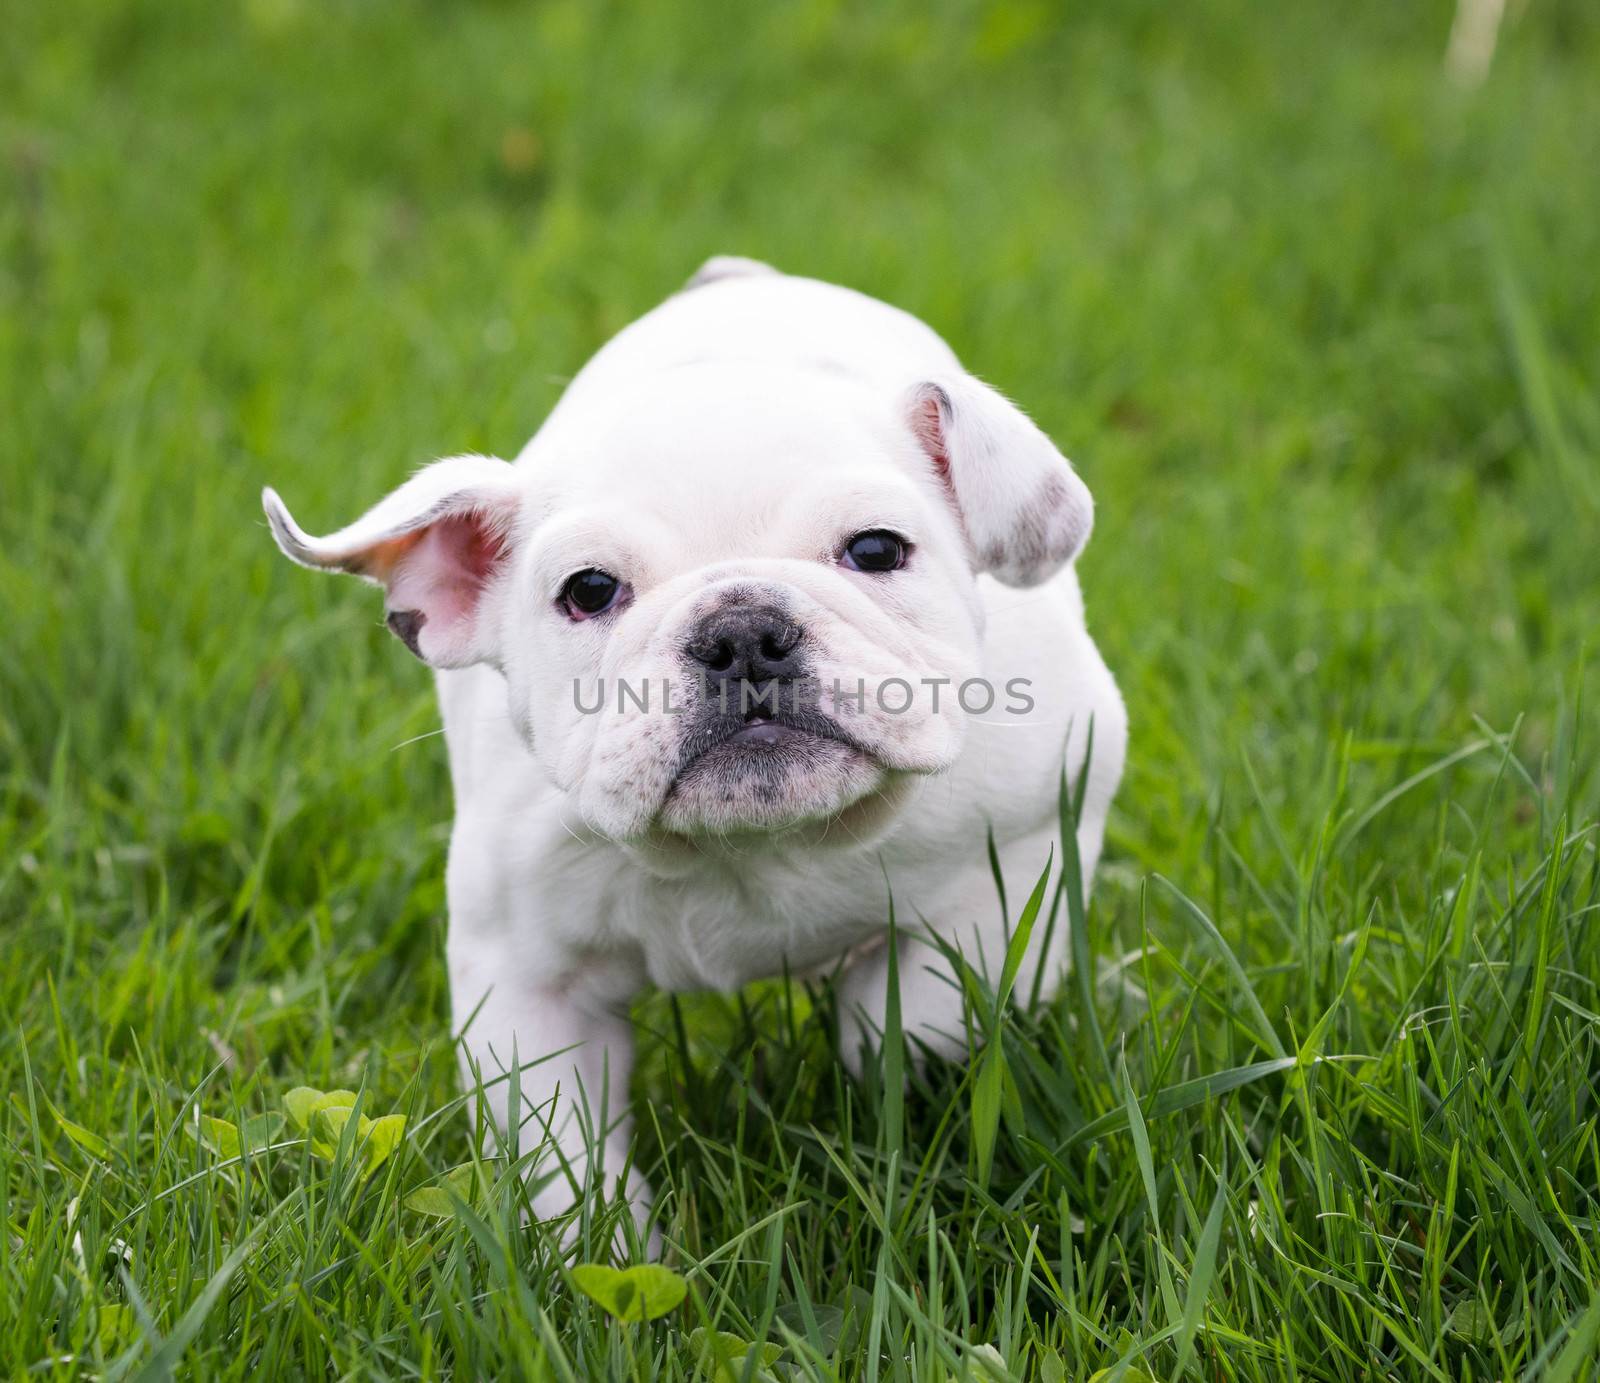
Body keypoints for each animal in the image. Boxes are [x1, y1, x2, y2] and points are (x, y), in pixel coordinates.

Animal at [262, 259, 1126, 1242]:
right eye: (589, 590)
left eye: (877, 549)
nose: (743, 632)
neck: (760, 843)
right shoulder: (523, 984)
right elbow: (558, 1154)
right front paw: (598, 1250)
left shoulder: (1031, 841)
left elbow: (930, 1006)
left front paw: (874, 1035)